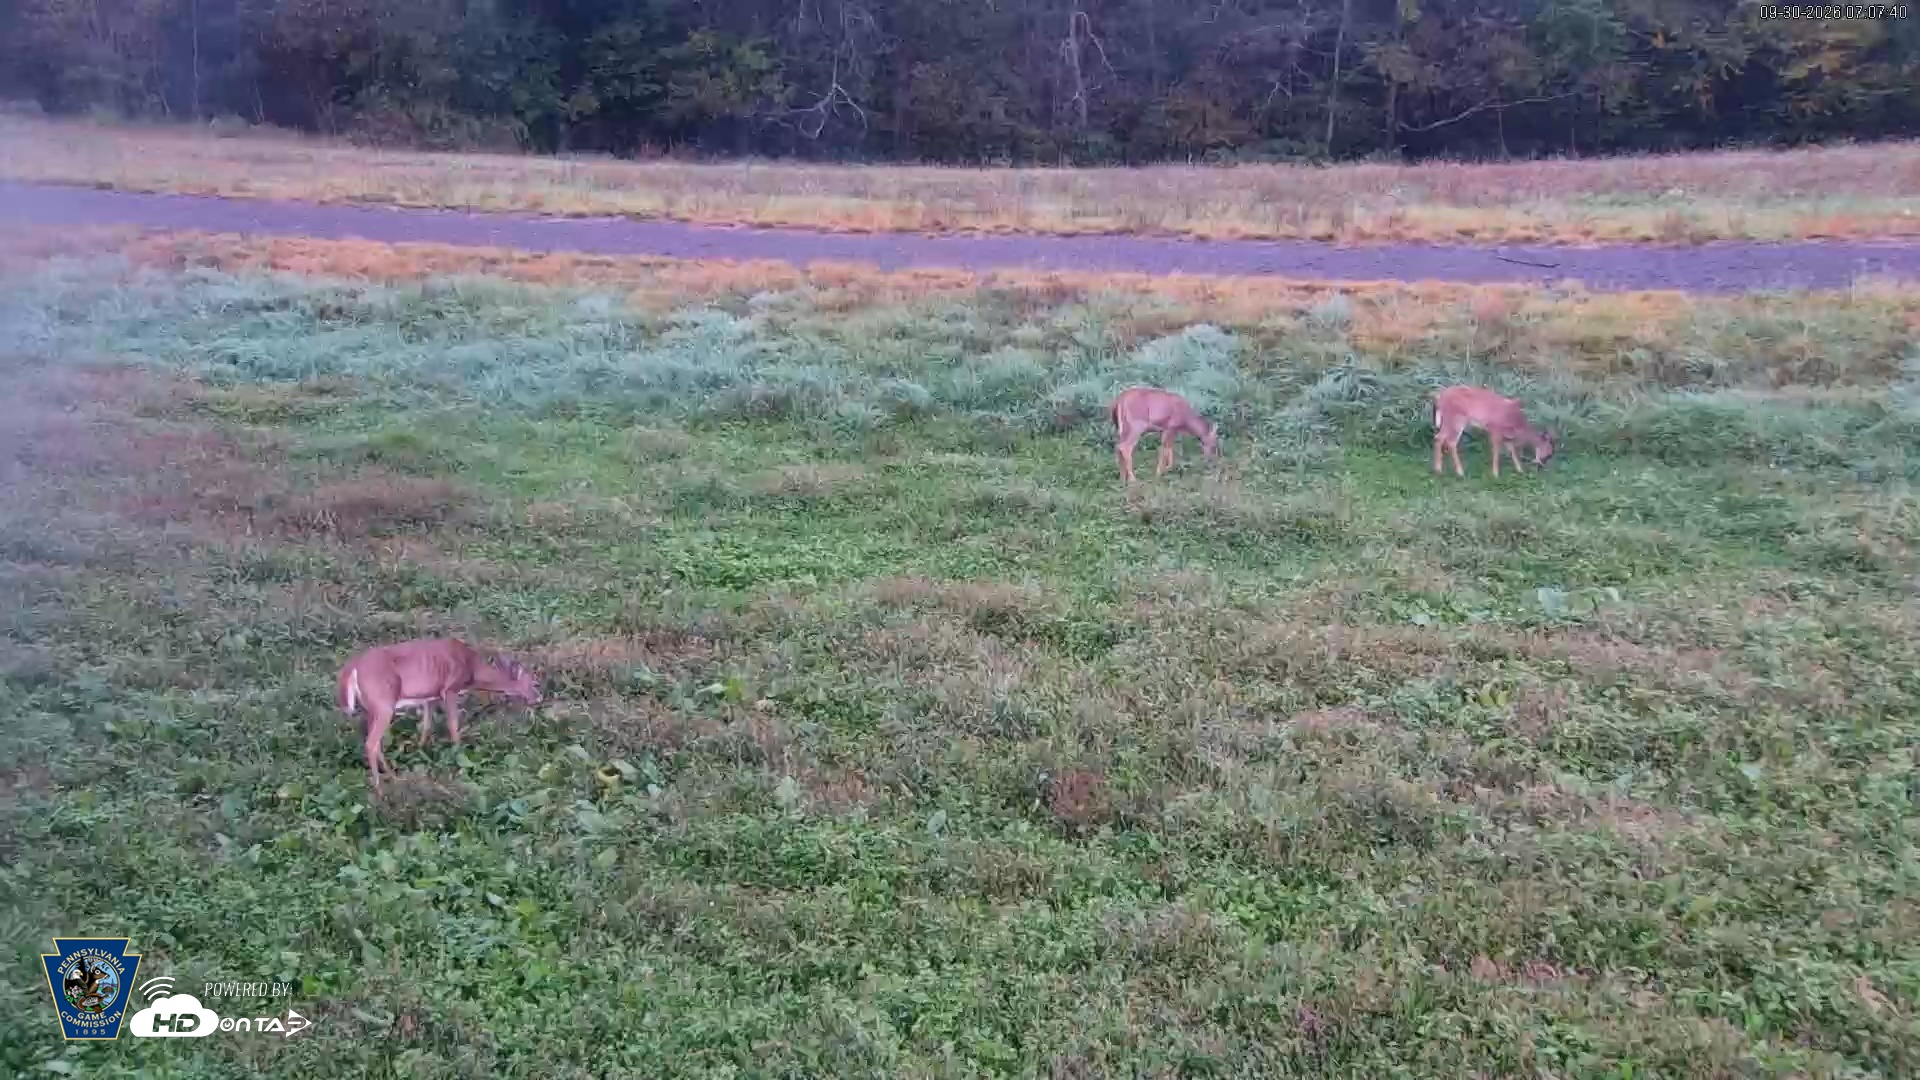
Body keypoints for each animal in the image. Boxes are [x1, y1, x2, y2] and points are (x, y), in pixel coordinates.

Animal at [336, 638, 543, 796]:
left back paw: (395, 777)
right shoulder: (449, 689)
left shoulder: (431, 696)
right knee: (371, 743)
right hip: (383, 703)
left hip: (372, 708)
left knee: (375, 742)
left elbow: (427, 725)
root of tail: (352, 668)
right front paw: (459, 757)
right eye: (533, 683)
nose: (539, 698)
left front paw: (420, 751)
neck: (471, 669)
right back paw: (380, 790)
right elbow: (453, 724)